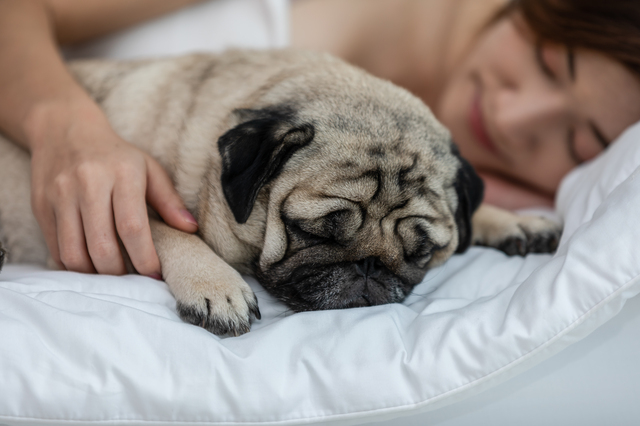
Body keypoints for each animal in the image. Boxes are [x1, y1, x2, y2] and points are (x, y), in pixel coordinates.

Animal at [0, 50, 560, 336]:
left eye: (420, 252)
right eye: (312, 231)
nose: (368, 267)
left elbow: (466, 220)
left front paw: (511, 219)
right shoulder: (126, 208)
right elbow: (170, 230)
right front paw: (217, 285)